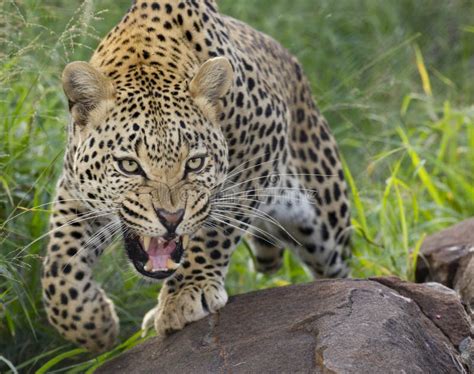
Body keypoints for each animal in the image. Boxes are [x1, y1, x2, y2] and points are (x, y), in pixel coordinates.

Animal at [41, 0, 352, 352]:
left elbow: (216, 229)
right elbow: (60, 261)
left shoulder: (261, 148)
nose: (171, 218)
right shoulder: (74, 187)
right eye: (130, 166)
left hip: (325, 219)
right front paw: (91, 324)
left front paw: (186, 293)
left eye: (195, 163)